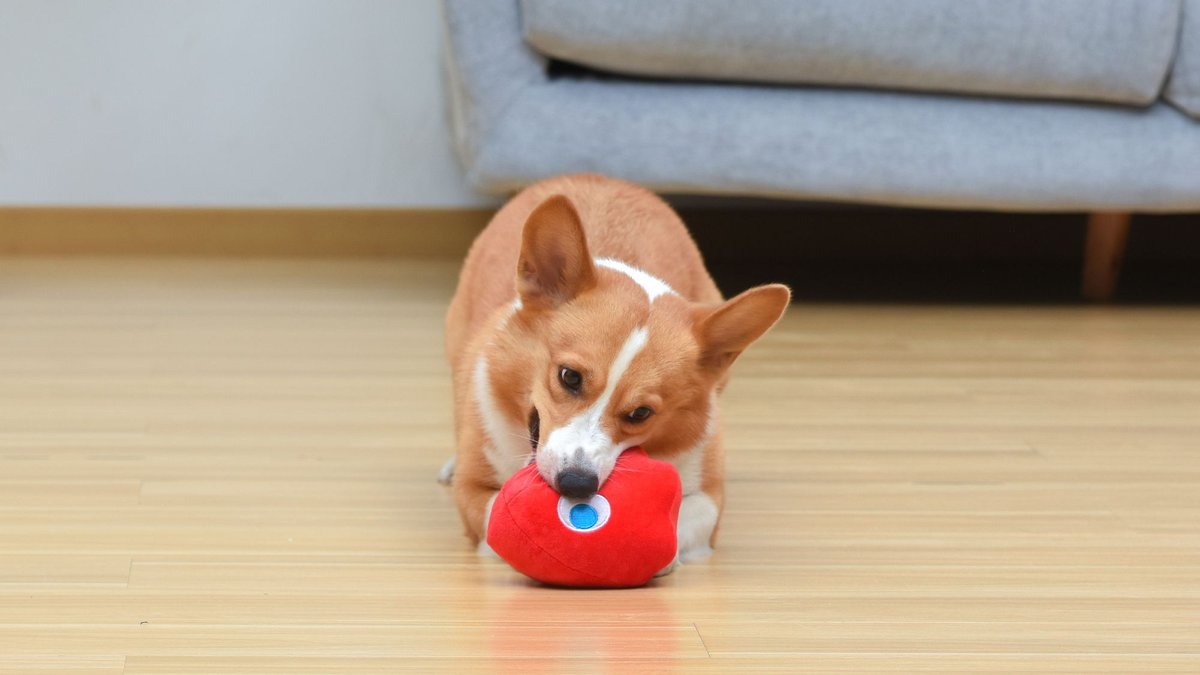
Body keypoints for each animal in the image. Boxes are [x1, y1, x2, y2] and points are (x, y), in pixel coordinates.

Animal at [441, 171, 787, 566]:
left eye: (641, 413)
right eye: (569, 377)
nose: (576, 484)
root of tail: (600, 177)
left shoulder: (709, 496)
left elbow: (686, 522)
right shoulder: (473, 490)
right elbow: (493, 514)